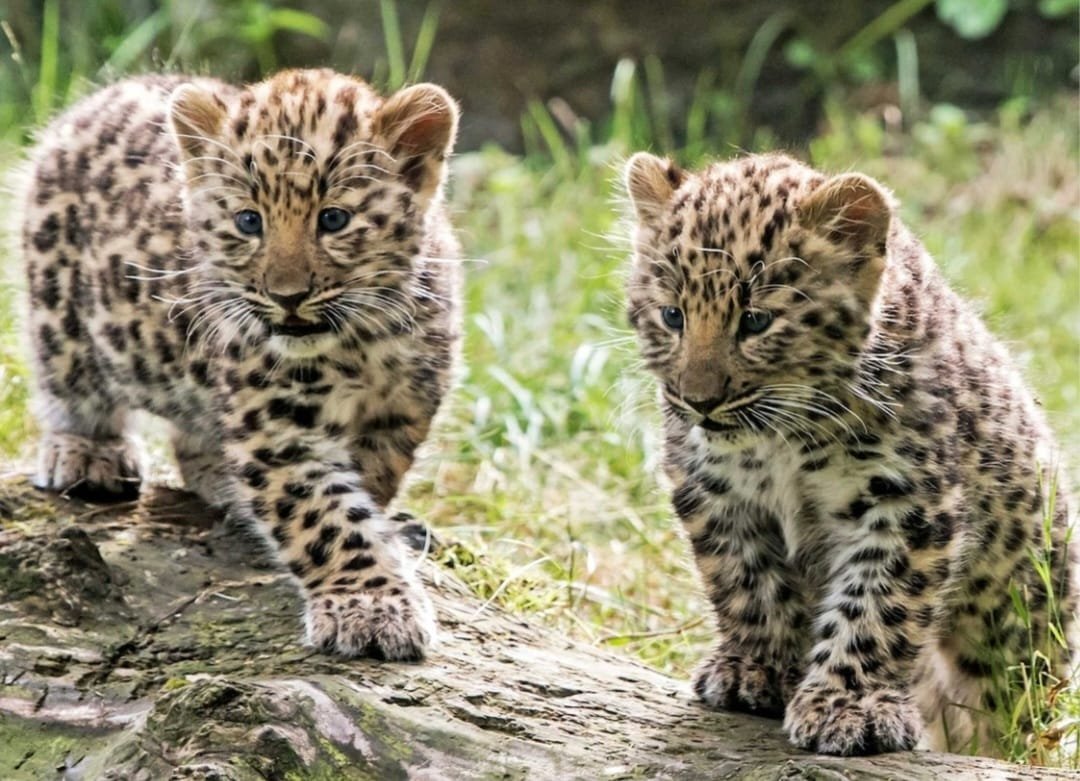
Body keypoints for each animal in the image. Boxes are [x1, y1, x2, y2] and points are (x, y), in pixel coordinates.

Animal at [17, 68, 463, 661]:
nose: (287, 296)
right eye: (248, 222)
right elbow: (326, 519)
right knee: (69, 385)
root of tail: (101, 97)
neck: (362, 340)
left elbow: (366, 488)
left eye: (334, 219)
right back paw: (87, 454)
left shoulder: (402, 410)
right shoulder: (277, 434)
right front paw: (370, 606)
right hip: (59, 306)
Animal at [622, 150, 1076, 755]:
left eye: (756, 321)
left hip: (1020, 627)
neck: (782, 441)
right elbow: (745, 582)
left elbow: (876, 608)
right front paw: (756, 669)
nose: (699, 401)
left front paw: (849, 705)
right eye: (672, 316)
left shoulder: (906, 504)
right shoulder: (712, 488)